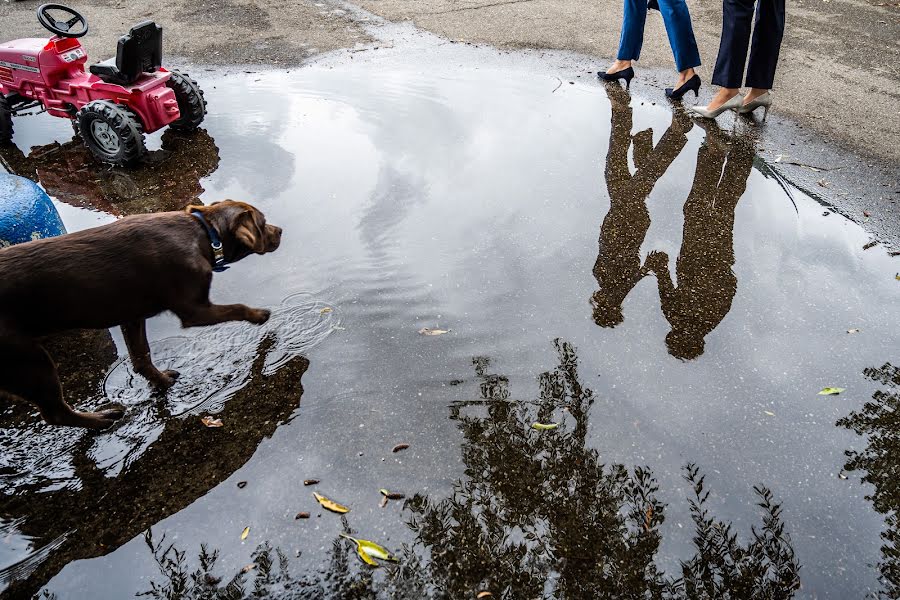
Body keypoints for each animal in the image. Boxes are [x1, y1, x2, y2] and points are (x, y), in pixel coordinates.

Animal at [0, 203, 282, 432]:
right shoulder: (194, 310)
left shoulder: (132, 318)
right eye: (263, 222)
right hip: (29, 361)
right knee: (55, 413)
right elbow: (236, 307)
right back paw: (101, 419)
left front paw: (161, 382)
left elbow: (141, 357)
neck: (203, 233)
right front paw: (259, 315)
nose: (280, 230)